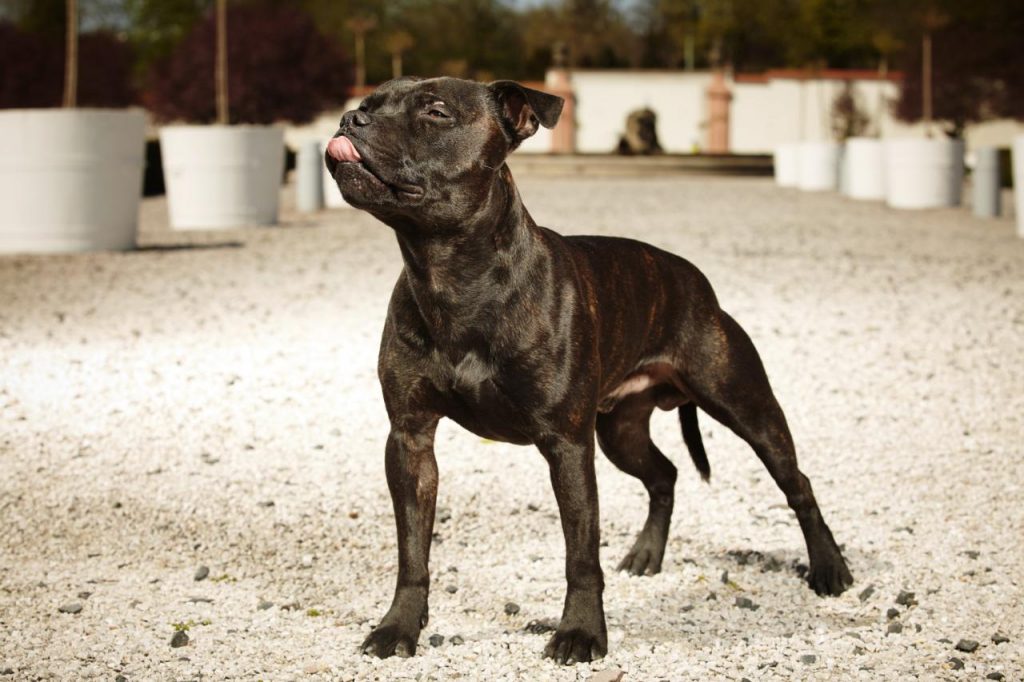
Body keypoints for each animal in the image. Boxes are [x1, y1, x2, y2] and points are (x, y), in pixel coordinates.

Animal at [327, 76, 856, 659]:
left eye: (436, 112)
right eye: (369, 103)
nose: (349, 119)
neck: (450, 275)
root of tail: (695, 280)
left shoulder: (567, 446)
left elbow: (580, 553)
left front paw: (580, 633)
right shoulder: (411, 439)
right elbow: (412, 549)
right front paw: (399, 626)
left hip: (746, 406)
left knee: (797, 482)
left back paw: (829, 568)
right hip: (621, 432)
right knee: (665, 474)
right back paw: (647, 554)